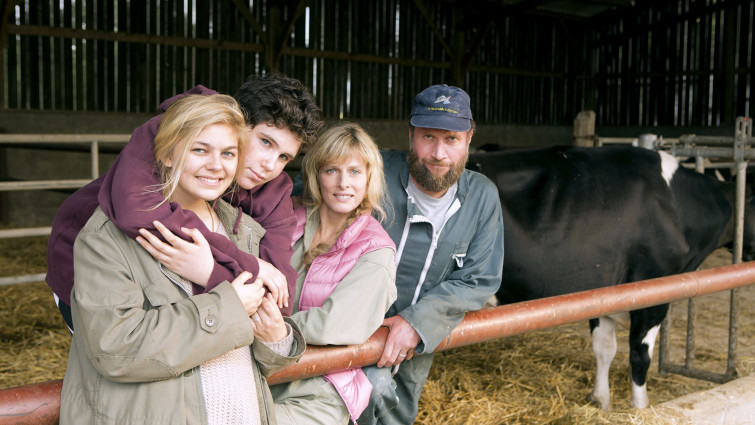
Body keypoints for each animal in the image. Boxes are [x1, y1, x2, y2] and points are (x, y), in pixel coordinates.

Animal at [466, 145, 752, 408]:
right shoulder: (653, 293)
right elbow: (640, 355)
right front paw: (640, 408)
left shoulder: (602, 290)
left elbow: (604, 348)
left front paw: (601, 400)